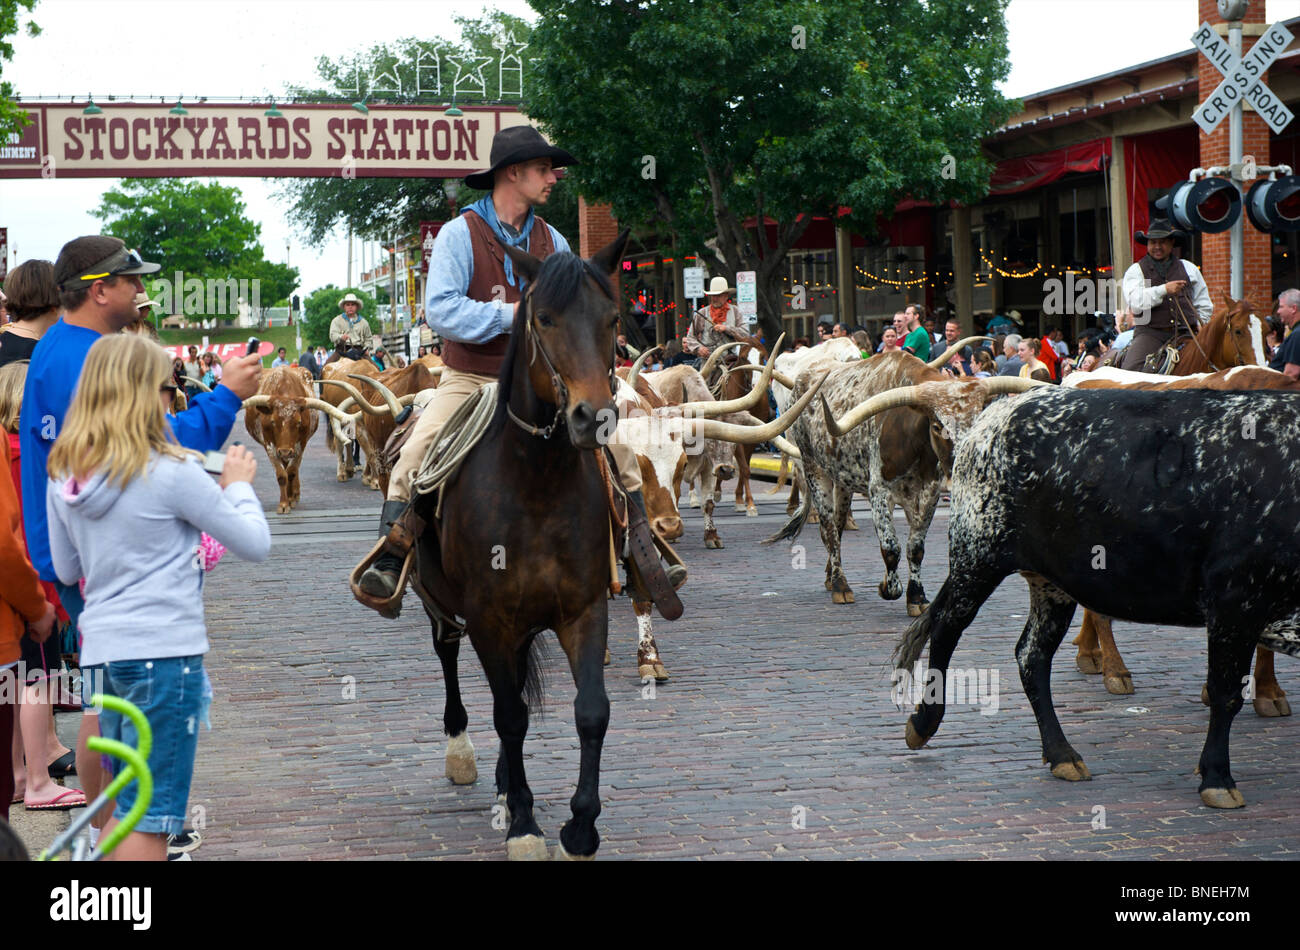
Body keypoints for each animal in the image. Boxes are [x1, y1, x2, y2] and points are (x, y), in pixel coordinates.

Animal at [418, 232, 631, 862]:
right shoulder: (488, 615)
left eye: (613, 319)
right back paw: (463, 754)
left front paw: (580, 827)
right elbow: (510, 715)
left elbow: (591, 712)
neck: (536, 480)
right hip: (438, 601)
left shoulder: (584, 609)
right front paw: (525, 825)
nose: (593, 416)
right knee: (449, 657)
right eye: (544, 318)